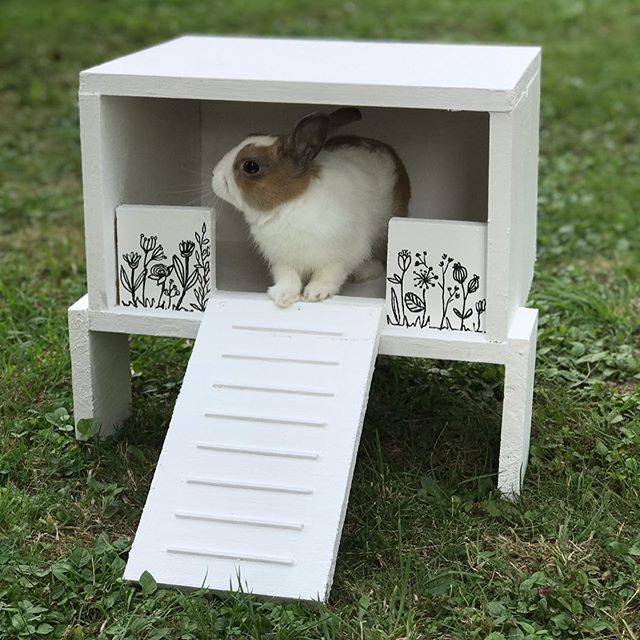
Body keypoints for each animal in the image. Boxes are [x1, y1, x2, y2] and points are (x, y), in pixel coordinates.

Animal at [211, 107, 410, 308]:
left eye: (251, 166)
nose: (214, 175)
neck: (288, 205)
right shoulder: (282, 260)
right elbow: (288, 278)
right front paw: (282, 297)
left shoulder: (338, 256)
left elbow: (328, 275)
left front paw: (315, 293)